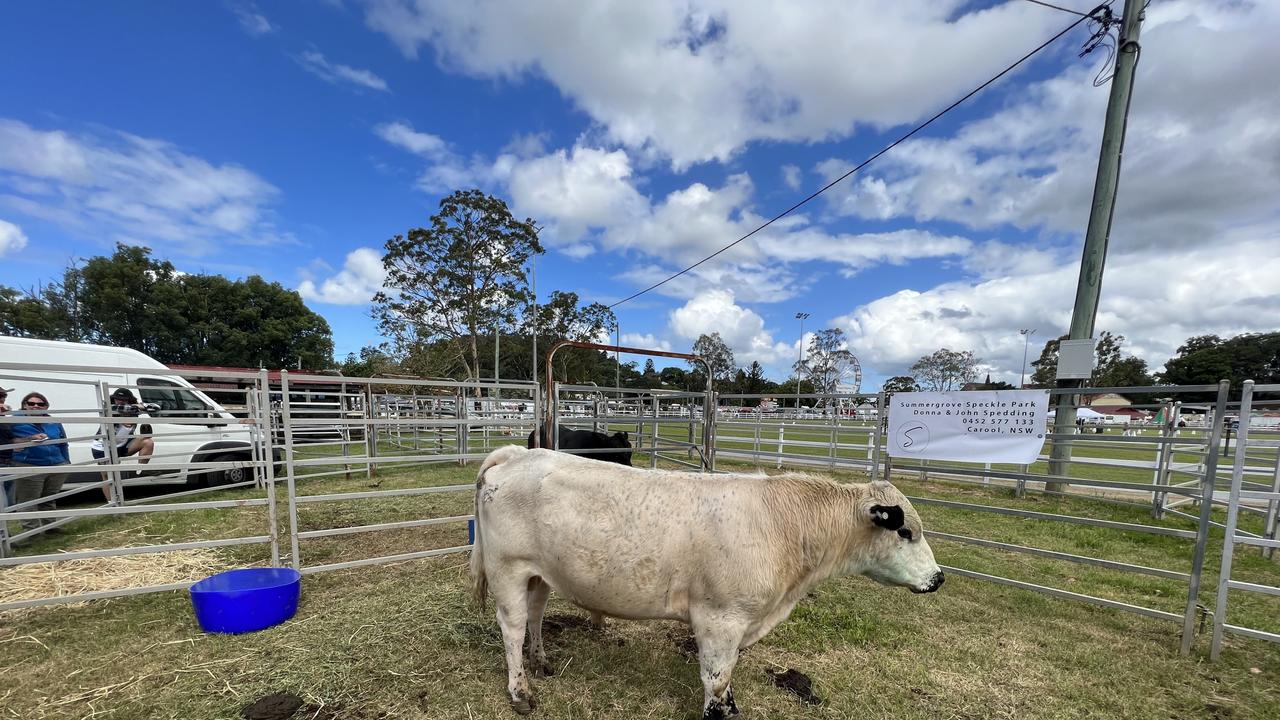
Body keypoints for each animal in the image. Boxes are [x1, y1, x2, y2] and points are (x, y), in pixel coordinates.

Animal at [471, 445, 942, 712]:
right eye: (906, 531)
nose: (938, 579)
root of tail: (516, 453)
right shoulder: (720, 619)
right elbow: (716, 678)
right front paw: (718, 709)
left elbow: (727, 677)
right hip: (508, 569)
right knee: (512, 627)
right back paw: (520, 692)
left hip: (540, 574)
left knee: (535, 615)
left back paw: (541, 662)